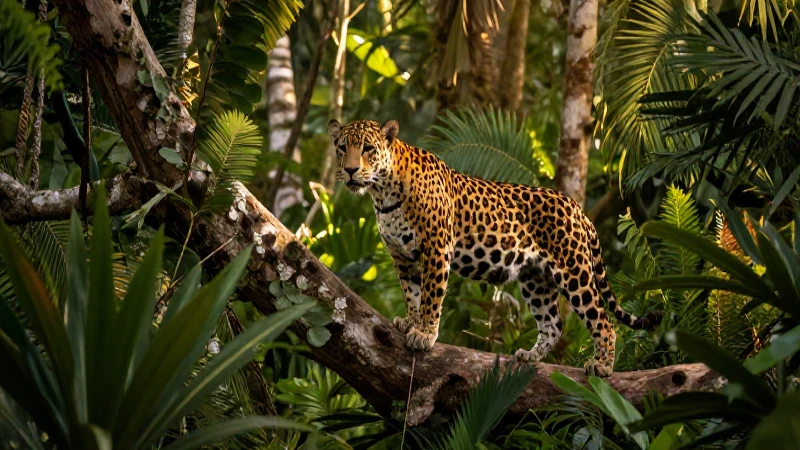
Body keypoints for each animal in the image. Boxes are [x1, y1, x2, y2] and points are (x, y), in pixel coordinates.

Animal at [326, 118, 662, 376]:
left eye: (368, 148)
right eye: (342, 148)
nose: (351, 170)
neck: (383, 194)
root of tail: (578, 210)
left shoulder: (436, 248)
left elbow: (431, 295)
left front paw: (424, 333)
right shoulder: (402, 256)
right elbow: (412, 292)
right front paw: (410, 321)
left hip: (574, 272)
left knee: (603, 321)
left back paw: (602, 366)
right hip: (536, 280)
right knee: (553, 324)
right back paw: (530, 356)